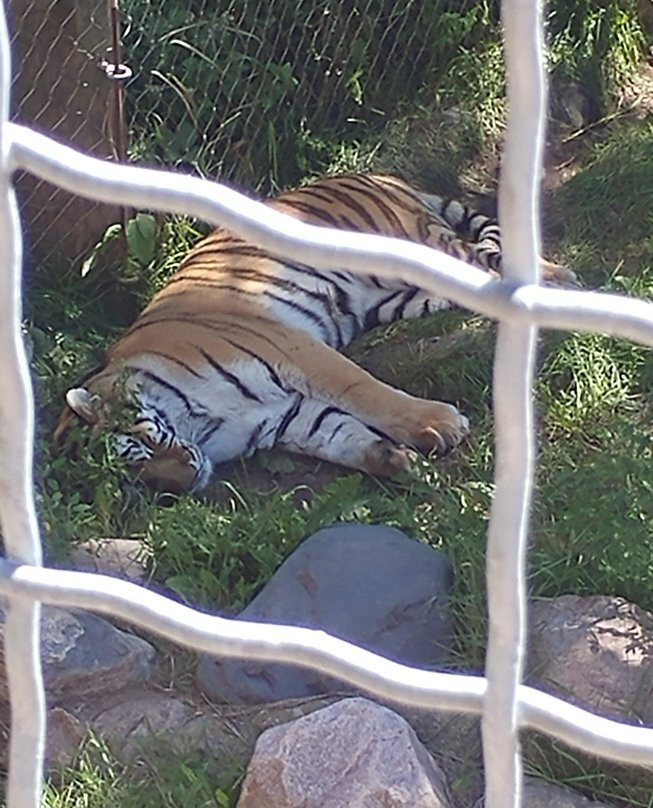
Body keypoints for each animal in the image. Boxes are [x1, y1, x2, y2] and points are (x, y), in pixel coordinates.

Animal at [54, 172, 576, 492]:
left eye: (137, 453)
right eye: (136, 481)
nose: (183, 483)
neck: (197, 422)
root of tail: (377, 175)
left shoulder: (292, 349)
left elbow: (367, 393)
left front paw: (438, 423)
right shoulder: (284, 418)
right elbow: (340, 435)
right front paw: (395, 461)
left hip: (421, 246)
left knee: (485, 262)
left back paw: (559, 282)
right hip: (405, 295)